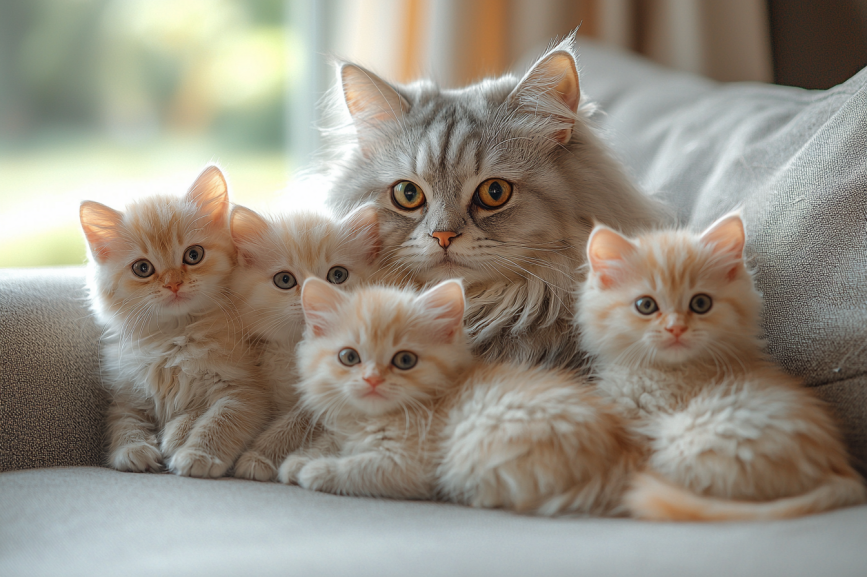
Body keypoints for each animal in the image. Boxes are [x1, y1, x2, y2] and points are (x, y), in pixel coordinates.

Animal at [82, 164, 272, 474]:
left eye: (193, 255)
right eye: (142, 268)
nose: (173, 283)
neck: (175, 337)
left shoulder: (245, 390)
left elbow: (215, 421)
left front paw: (195, 452)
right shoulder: (128, 397)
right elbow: (124, 423)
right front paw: (132, 450)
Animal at [282, 276, 640, 516]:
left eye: (405, 360)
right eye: (349, 357)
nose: (372, 379)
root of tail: (619, 454)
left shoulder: (408, 466)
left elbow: (359, 467)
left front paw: (316, 470)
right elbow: (335, 441)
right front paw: (300, 459)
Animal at [576, 214, 867, 520]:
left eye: (701, 303)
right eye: (645, 305)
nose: (676, 328)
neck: (666, 372)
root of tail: (839, 470)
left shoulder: (641, 429)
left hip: (687, 445)